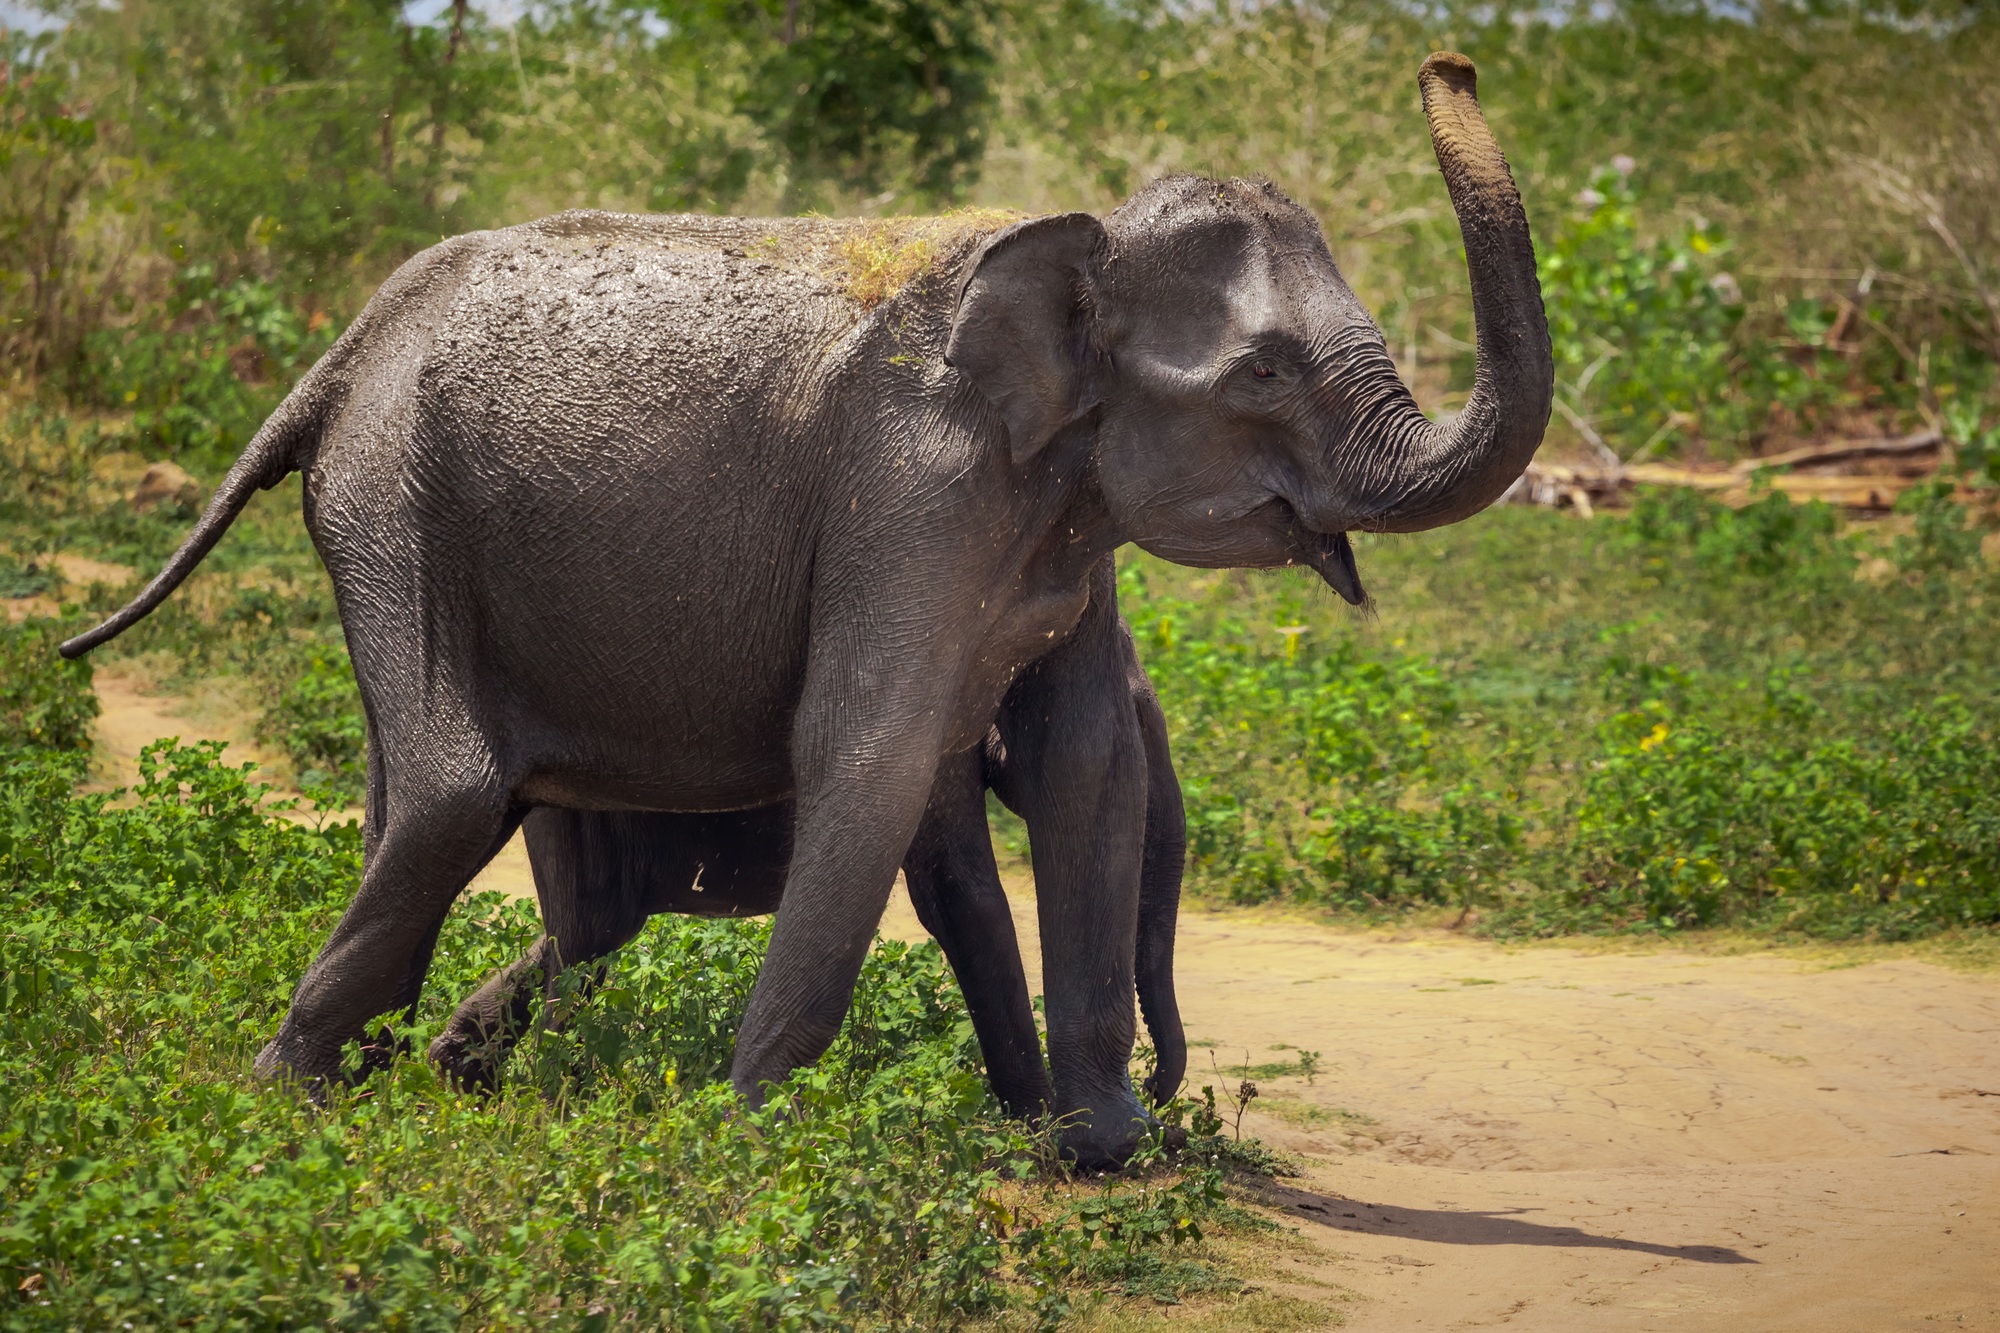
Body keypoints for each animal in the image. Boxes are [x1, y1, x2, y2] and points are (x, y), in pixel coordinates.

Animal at [430, 573, 1189, 1124]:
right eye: (1140, 715)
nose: (1155, 1085)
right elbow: (959, 892)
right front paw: (1039, 1124)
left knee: (593, 932)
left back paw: (457, 1070)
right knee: (587, 937)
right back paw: (554, 1092)